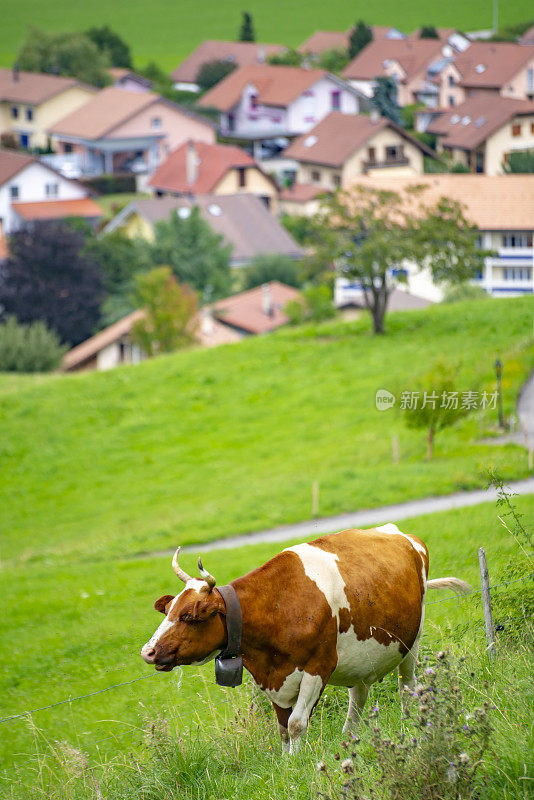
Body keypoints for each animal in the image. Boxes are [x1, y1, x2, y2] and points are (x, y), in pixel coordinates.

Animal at [142, 520, 474, 752]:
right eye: (168, 610)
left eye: (188, 616)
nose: (148, 651)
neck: (278, 605)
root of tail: (401, 534)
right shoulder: (271, 677)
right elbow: (282, 728)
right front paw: (288, 762)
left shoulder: (317, 667)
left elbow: (297, 723)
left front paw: (297, 763)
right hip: (361, 657)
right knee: (358, 697)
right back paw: (349, 737)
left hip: (411, 642)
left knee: (407, 687)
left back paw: (410, 725)